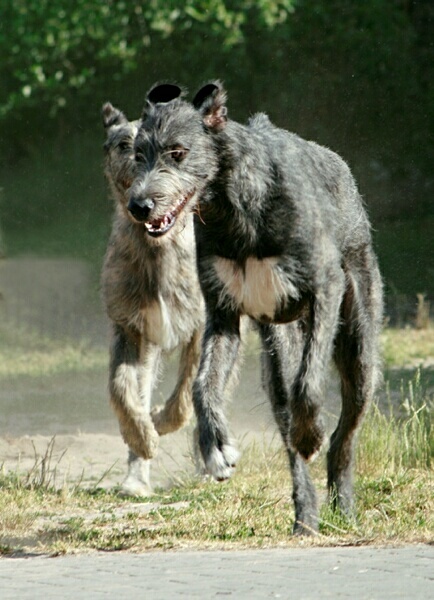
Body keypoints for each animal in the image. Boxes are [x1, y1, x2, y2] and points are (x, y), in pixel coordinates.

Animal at [102, 99, 205, 496]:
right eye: (122, 145)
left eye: (171, 150)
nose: (142, 202)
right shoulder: (131, 327)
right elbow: (121, 388)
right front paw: (143, 437)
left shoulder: (201, 324)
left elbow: (187, 392)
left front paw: (160, 422)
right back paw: (136, 476)